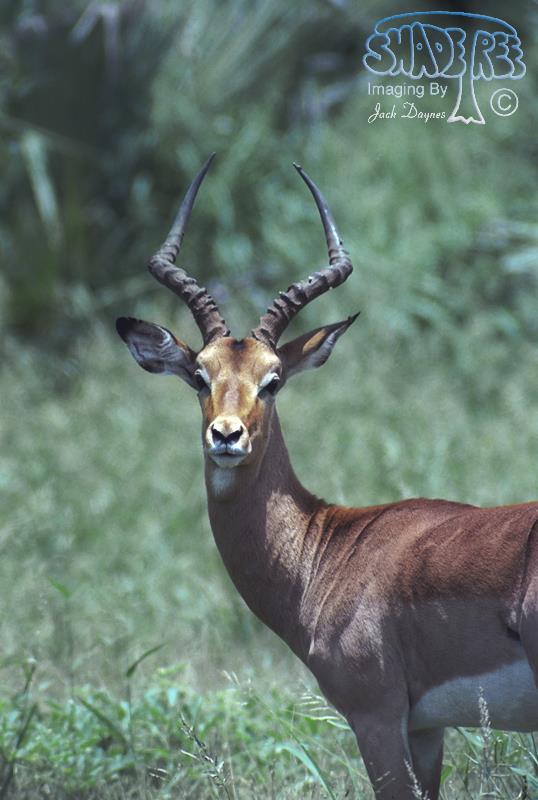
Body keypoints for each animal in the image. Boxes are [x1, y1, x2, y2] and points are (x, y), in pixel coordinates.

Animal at [116, 154, 538, 800]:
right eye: (199, 375)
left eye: (273, 379)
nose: (226, 436)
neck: (328, 550)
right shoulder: (426, 729)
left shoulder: (376, 717)